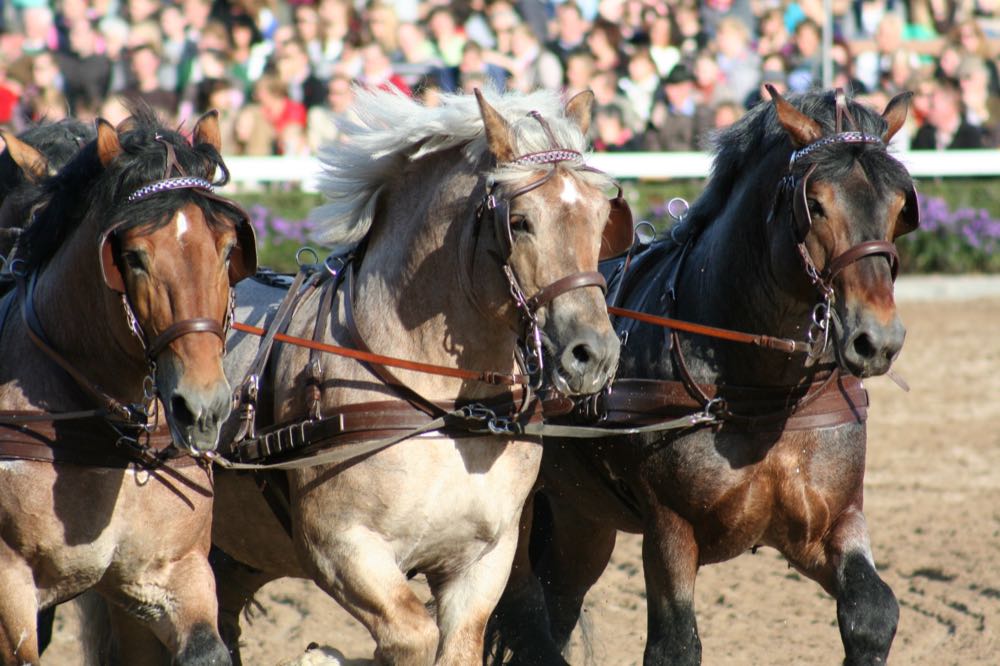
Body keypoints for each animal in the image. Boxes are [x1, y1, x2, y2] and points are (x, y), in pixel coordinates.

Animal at [0, 106, 256, 660]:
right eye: (133, 256)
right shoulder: (11, 587)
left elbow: (205, 646)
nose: (202, 408)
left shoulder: (171, 574)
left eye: (228, 249)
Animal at [213, 87, 624, 660]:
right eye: (519, 221)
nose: (594, 354)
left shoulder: (485, 561)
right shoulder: (339, 547)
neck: (445, 411)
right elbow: (413, 634)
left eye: (600, 215)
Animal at [488, 85, 916, 660]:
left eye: (899, 205)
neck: (761, 393)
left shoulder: (828, 521)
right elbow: (675, 644)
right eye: (816, 203)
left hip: (579, 519)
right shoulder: (670, 528)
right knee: (522, 612)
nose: (877, 339)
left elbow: (873, 612)